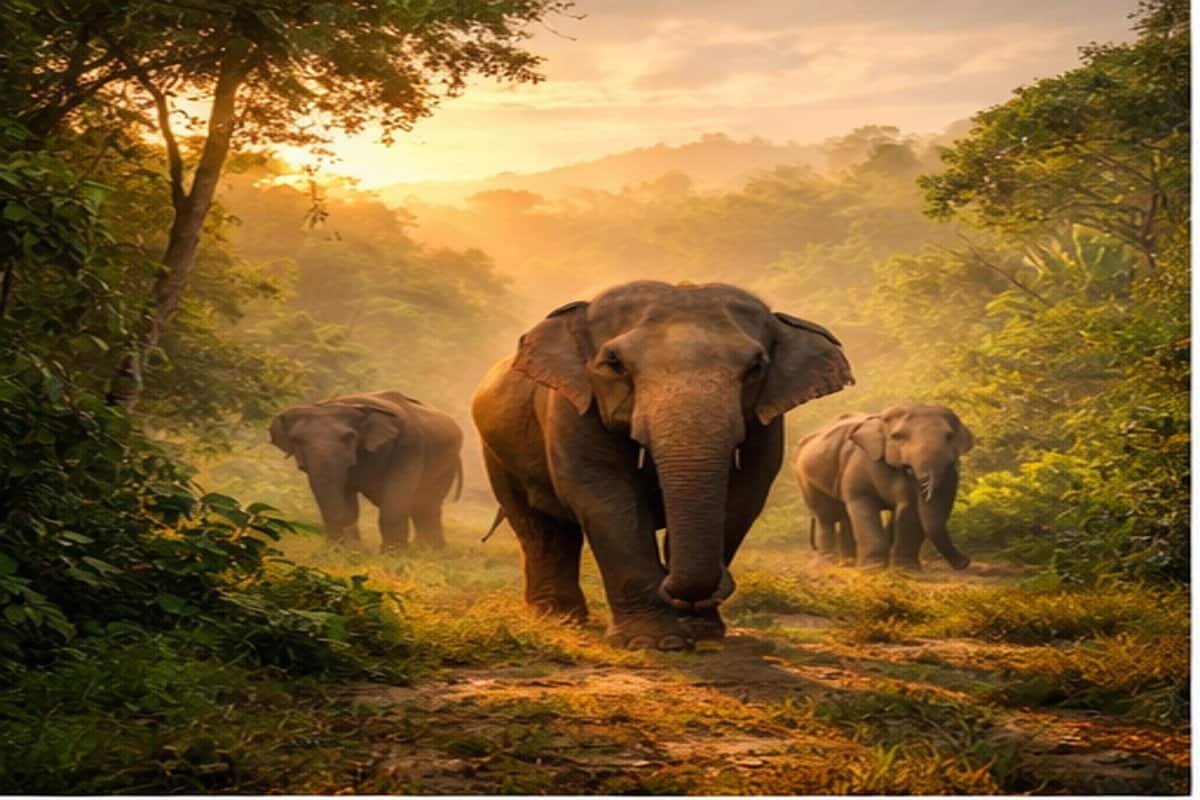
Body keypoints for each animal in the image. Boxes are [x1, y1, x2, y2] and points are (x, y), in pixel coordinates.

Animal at [269, 391, 463, 552]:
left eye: (348, 437)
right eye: (296, 440)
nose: (334, 548)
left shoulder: (410, 446)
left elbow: (395, 499)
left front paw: (393, 555)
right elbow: (346, 499)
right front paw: (348, 551)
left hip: (446, 463)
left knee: (426, 504)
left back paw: (430, 551)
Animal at [471, 281, 853, 650]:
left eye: (756, 366)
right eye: (614, 363)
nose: (673, 586)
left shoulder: (766, 424)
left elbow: (744, 496)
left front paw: (702, 633)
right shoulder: (572, 409)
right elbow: (605, 496)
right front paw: (656, 642)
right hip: (497, 454)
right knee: (540, 527)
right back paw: (559, 619)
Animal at [794, 405, 974, 570]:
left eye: (950, 436)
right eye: (897, 436)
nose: (965, 562)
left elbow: (909, 509)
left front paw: (906, 569)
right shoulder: (860, 464)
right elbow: (863, 504)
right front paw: (874, 568)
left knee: (844, 516)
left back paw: (848, 563)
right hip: (804, 477)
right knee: (827, 517)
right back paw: (829, 563)